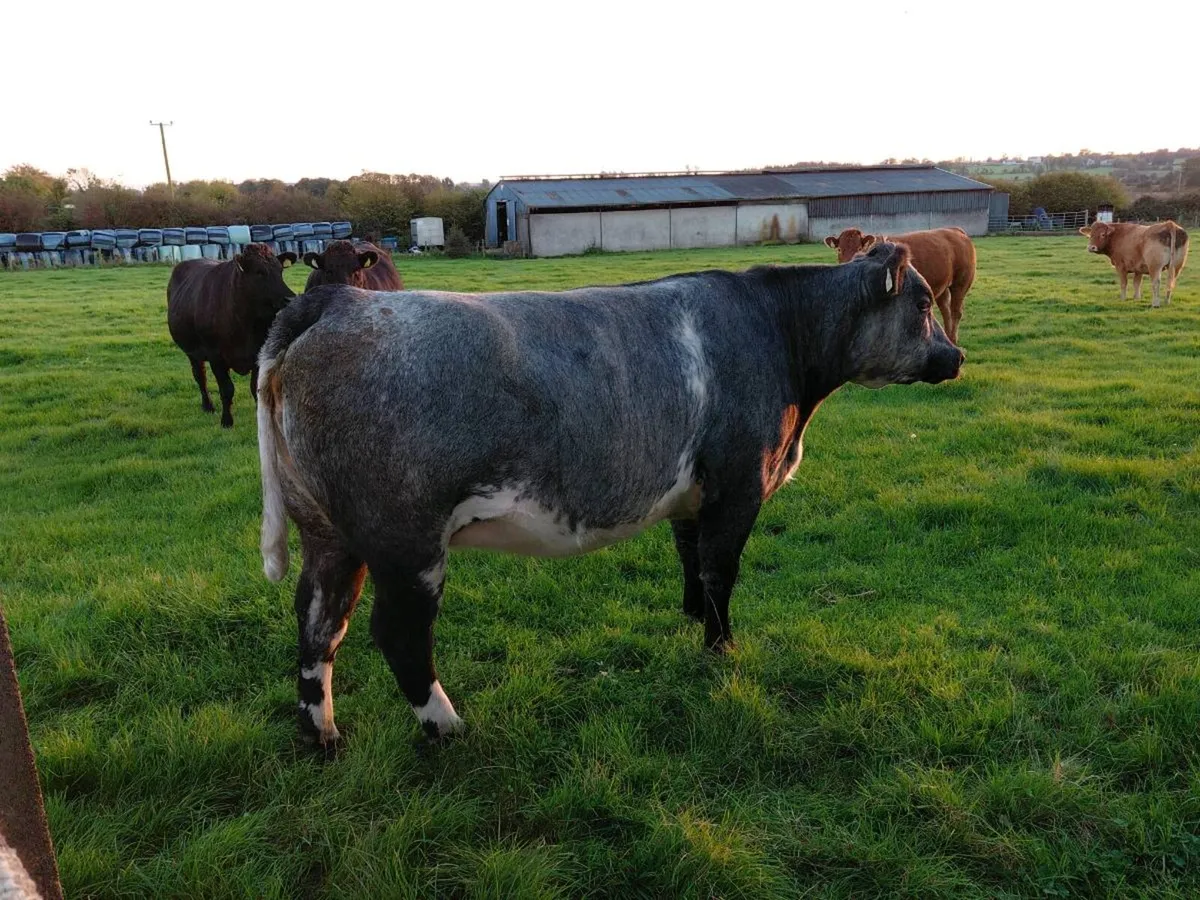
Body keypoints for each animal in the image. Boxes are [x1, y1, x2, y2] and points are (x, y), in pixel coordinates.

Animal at [166, 242, 297, 428]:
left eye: (280, 270)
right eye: (259, 272)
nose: (290, 299)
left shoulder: (258, 353)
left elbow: (255, 388)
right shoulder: (216, 357)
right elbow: (226, 389)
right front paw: (226, 421)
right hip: (192, 352)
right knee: (200, 376)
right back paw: (208, 406)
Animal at [255, 242, 965, 747]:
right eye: (923, 305)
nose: (955, 357)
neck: (777, 332)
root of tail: (337, 303)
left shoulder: (692, 495)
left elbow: (691, 562)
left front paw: (693, 624)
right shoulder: (739, 485)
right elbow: (721, 570)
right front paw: (721, 650)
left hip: (328, 529)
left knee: (318, 620)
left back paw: (322, 734)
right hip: (404, 538)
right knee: (396, 632)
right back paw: (447, 726)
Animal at [824, 227, 976, 344]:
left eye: (860, 248)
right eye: (839, 249)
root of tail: (954, 230)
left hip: (961, 282)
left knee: (956, 312)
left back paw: (953, 340)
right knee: (946, 310)